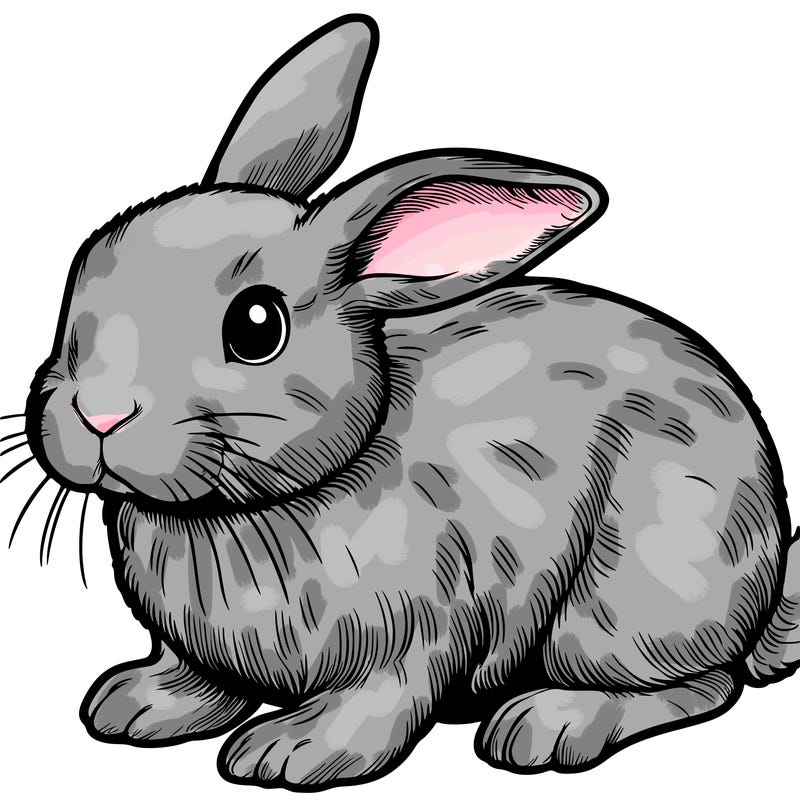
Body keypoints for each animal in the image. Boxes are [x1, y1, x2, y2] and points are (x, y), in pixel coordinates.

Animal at [11, 11, 799, 792]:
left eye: (256, 326)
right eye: (84, 271)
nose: (99, 414)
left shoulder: (415, 634)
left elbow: (378, 703)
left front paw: (289, 752)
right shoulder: (200, 650)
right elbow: (199, 678)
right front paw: (135, 705)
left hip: (627, 602)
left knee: (702, 684)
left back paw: (548, 725)